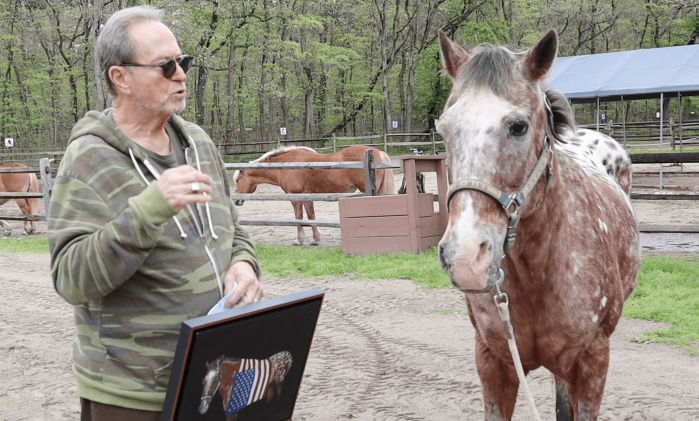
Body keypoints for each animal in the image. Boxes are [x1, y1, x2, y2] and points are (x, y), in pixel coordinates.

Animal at [235, 144, 396, 244]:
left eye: (237, 180)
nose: (236, 200)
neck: (286, 164)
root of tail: (377, 152)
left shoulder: (295, 196)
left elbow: (298, 217)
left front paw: (299, 240)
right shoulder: (307, 197)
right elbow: (311, 217)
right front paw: (315, 240)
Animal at [440, 30, 644, 420]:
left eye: (518, 126)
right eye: (442, 129)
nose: (466, 258)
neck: (538, 271)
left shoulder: (592, 362)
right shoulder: (493, 362)